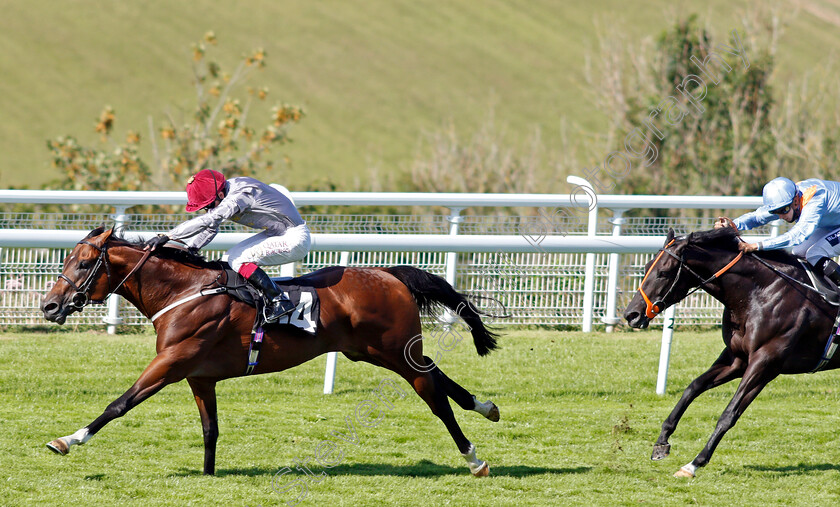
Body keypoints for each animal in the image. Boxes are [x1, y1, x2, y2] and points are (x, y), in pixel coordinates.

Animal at [39, 228, 502, 478]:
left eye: (84, 264)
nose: (49, 306)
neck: (183, 292)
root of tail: (388, 273)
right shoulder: (199, 375)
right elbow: (210, 429)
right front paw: (208, 474)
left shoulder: (170, 363)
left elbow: (119, 404)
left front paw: (68, 439)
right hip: (372, 350)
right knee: (438, 376)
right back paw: (486, 406)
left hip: (394, 350)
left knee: (433, 394)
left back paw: (474, 458)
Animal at [620, 228, 840, 478]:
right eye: (647, 266)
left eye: (664, 273)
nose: (631, 315)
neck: (761, 293)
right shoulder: (737, 358)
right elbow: (692, 388)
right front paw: (661, 442)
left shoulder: (765, 363)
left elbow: (729, 414)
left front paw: (694, 463)